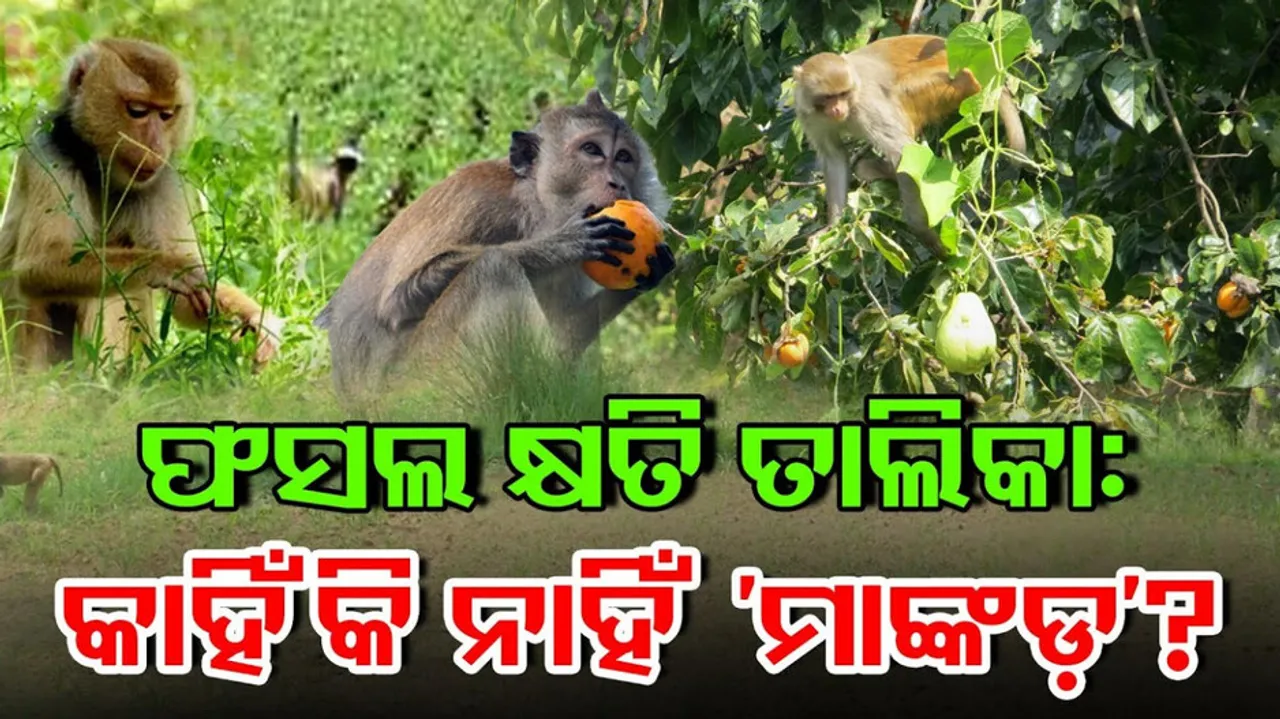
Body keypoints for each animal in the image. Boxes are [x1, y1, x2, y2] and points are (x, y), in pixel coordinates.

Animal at [0, 38, 284, 374]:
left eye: (166, 115)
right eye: (137, 111)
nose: (156, 146)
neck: (102, 169)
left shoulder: (164, 181)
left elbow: (187, 304)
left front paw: (255, 317)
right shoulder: (48, 153)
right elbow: (37, 266)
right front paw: (166, 267)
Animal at [314, 89, 676, 399]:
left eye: (624, 157)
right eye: (592, 151)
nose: (618, 183)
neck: (533, 206)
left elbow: (564, 330)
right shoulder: (477, 202)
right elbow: (396, 302)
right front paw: (558, 245)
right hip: (416, 381)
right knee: (494, 268)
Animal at [792, 34, 1027, 258]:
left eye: (842, 94)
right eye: (828, 97)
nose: (838, 109)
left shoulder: (866, 106)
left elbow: (903, 151)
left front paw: (920, 228)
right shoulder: (808, 115)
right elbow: (834, 157)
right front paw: (833, 226)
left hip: (953, 83)